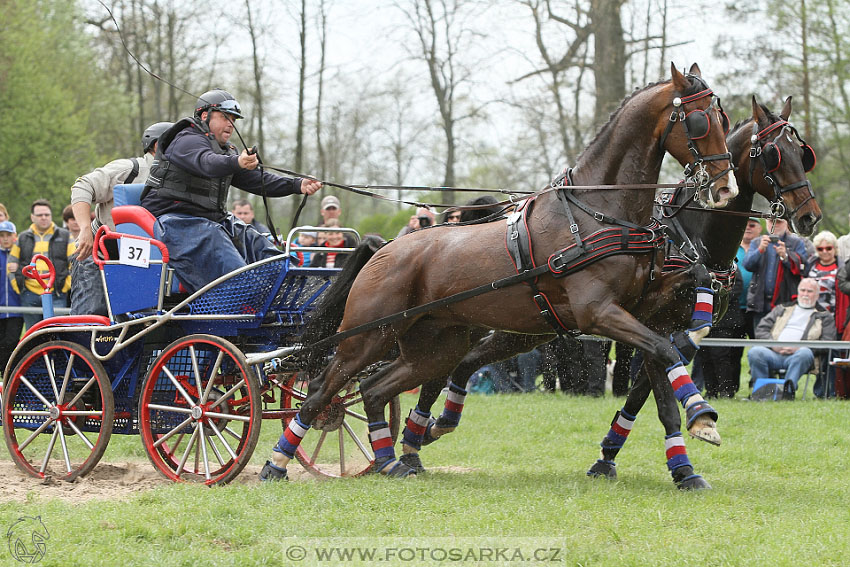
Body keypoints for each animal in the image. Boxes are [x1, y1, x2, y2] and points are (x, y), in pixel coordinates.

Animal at [258, 65, 736, 484]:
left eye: (723, 118)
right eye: (698, 121)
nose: (725, 186)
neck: (597, 213)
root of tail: (387, 248)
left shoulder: (643, 313)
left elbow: (661, 361)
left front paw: (690, 445)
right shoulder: (599, 312)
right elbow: (665, 353)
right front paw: (702, 416)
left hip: (434, 348)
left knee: (375, 389)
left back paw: (391, 463)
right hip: (367, 336)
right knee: (322, 390)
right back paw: (276, 464)